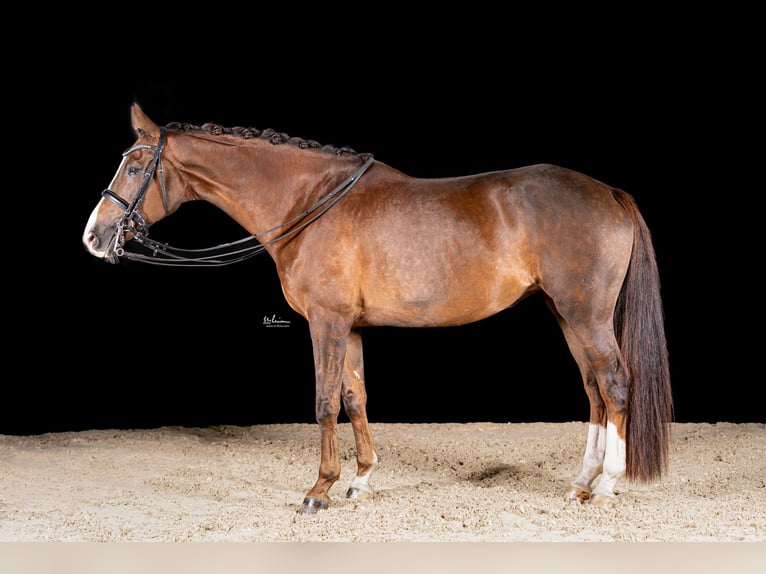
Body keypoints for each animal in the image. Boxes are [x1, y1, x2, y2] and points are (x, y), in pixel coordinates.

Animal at [83, 102, 673, 514]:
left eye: (134, 167)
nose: (94, 236)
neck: (308, 202)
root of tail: (609, 192)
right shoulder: (351, 327)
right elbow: (355, 396)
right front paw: (361, 479)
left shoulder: (326, 322)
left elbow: (324, 402)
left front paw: (319, 488)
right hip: (565, 314)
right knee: (594, 390)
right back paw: (580, 483)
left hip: (587, 316)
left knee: (616, 385)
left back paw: (607, 486)